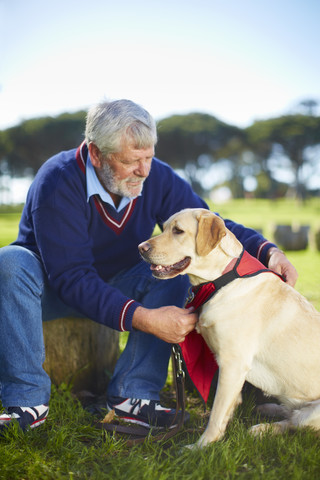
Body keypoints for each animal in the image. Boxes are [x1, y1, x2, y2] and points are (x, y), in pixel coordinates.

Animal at [139, 208, 320, 448]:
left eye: (178, 231)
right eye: (165, 227)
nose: (140, 248)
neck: (220, 281)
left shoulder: (232, 364)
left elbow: (216, 414)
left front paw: (201, 447)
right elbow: (227, 407)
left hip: (314, 413)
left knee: (295, 423)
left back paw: (263, 428)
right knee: (291, 414)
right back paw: (269, 410)